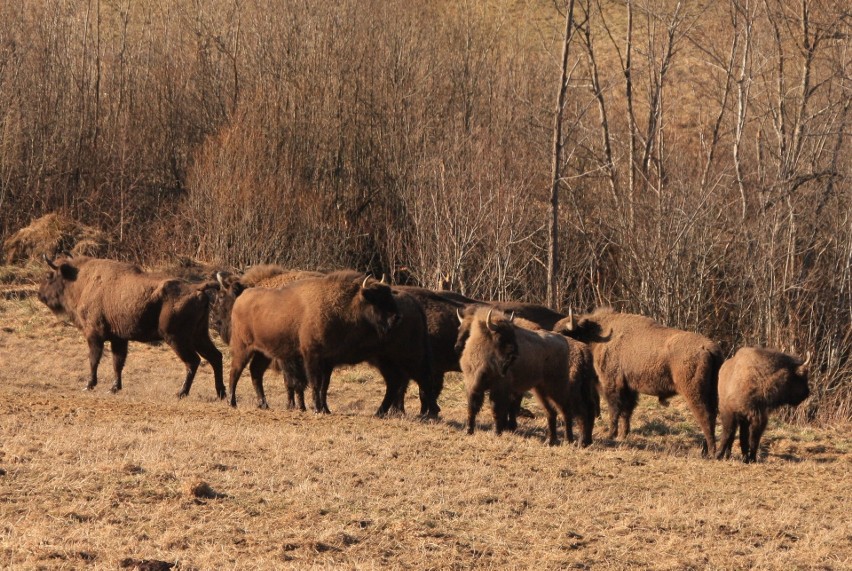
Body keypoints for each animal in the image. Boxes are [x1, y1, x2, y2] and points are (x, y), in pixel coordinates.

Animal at [38, 256, 225, 400]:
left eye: (49, 276)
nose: (39, 295)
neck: (82, 281)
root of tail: (196, 288)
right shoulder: (119, 340)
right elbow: (117, 363)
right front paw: (114, 388)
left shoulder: (94, 335)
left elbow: (94, 360)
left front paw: (89, 385)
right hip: (199, 336)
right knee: (215, 357)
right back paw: (221, 394)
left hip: (176, 338)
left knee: (193, 361)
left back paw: (181, 393)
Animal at [225, 270, 402, 414]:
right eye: (376, 299)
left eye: (389, 295)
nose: (396, 317)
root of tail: (241, 298)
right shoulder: (311, 356)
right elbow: (315, 383)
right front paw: (317, 408)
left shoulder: (328, 360)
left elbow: (324, 385)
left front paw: (326, 409)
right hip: (243, 348)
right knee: (235, 371)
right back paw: (232, 402)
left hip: (264, 353)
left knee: (255, 372)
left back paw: (264, 404)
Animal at [460, 308, 600, 446]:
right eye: (500, 337)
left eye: (513, 335)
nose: (514, 356)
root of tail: (565, 342)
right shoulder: (473, 386)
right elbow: (472, 409)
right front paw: (469, 431)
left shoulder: (499, 389)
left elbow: (497, 410)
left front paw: (497, 432)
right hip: (542, 390)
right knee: (552, 412)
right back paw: (551, 441)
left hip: (558, 388)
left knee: (567, 410)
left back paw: (570, 440)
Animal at [556, 308, 724, 456]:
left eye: (564, 333)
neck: (598, 335)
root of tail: (709, 348)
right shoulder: (629, 388)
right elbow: (626, 412)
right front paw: (623, 434)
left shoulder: (612, 385)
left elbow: (614, 410)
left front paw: (611, 434)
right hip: (711, 393)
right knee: (712, 416)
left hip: (694, 394)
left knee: (705, 417)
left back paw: (710, 451)